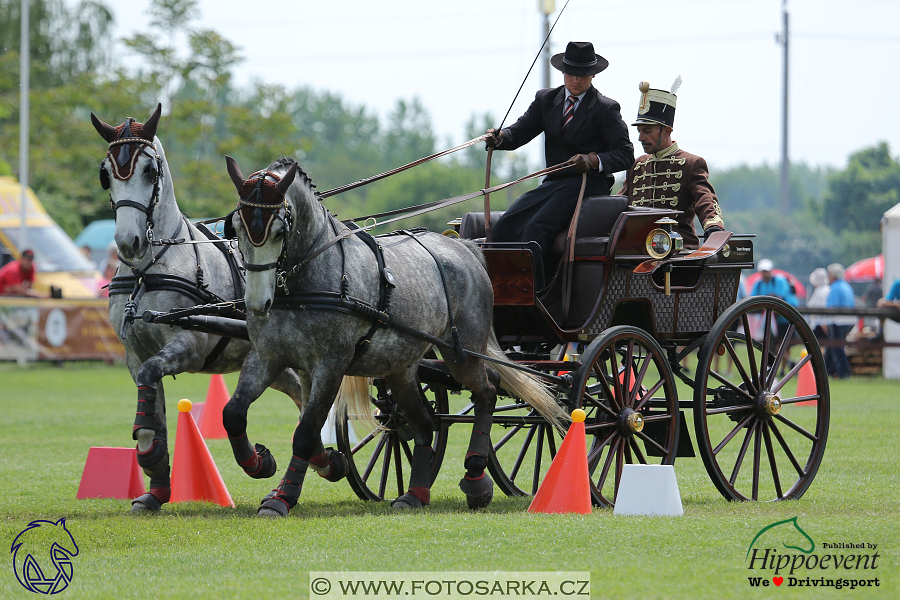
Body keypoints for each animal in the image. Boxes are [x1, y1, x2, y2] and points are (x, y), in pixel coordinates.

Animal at [91, 105, 308, 512]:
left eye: (150, 170)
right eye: (105, 174)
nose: (129, 242)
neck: (149, 270)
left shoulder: (189, 347)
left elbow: (152, 389)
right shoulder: (134, 355)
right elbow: (151, 419)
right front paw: (155, 487)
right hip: (274, 362)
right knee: (304, 399)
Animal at [222, 155, 568, 516]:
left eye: (280, 230)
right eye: (236, 228)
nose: (257, 302)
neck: (310, 281)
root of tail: (465, 247)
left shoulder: (331, 366)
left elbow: (305, 432)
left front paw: (282, 497)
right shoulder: (268, 358)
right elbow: (234, 414)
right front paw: (259, 464)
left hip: (461, 354)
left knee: (486, 390)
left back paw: (475, 478)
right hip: (401, 367)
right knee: (426, 423)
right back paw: (415, 494)